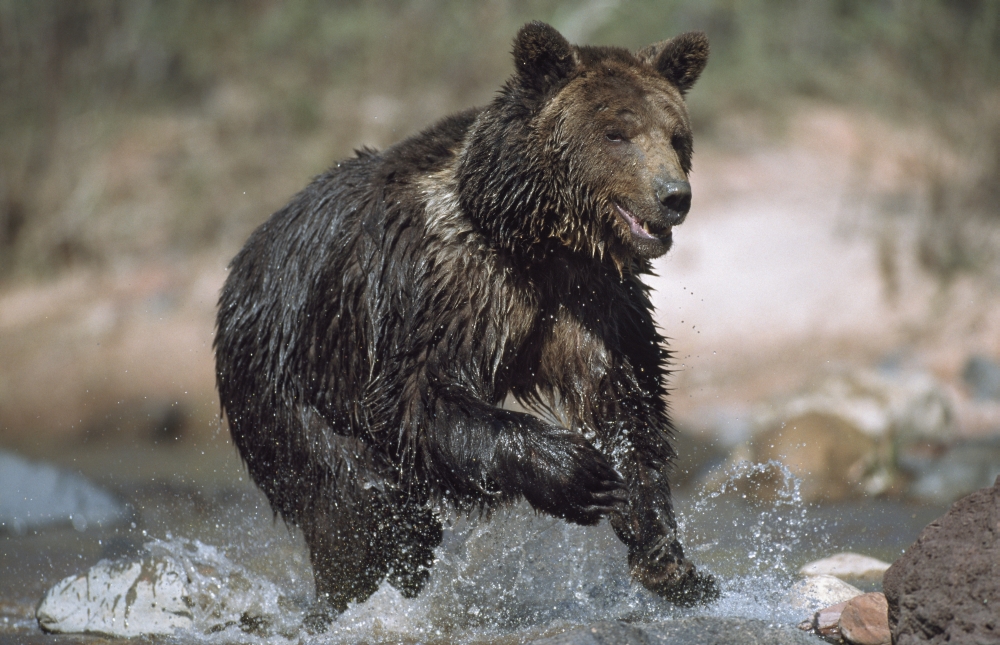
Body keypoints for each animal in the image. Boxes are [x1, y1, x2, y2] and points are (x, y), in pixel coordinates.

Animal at [214, 21, 716, 623]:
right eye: (617, 132)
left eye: (676, 136)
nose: (674, 196)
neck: (528, 234)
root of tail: (239, 266)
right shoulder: (444, 287)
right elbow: (416, 398)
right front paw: (576, 472)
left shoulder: (595, 300)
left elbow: (625, 401)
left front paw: (669, 558)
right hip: (286, 383)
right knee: (360, 506)